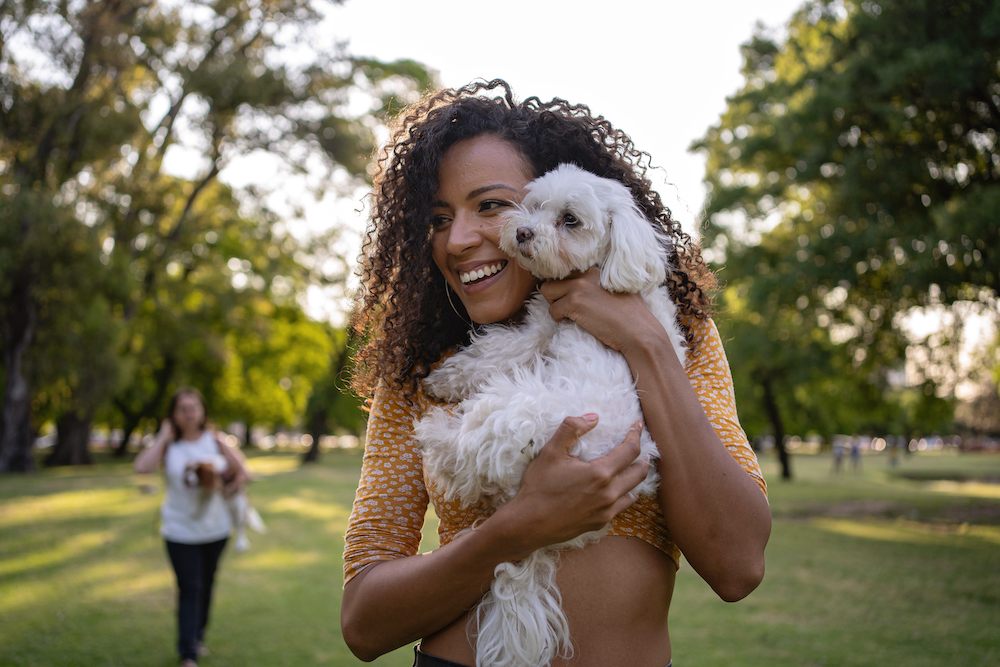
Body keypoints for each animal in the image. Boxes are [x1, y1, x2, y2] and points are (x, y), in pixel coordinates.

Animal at [414, 163, 688, 667]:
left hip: (521, 408)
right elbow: (494, 349)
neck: (606, 270)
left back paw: (436, 431)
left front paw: (444, 382)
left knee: (464, 450)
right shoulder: (543, 324)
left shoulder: (541, 328)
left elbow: (496, 350)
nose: (522, 232)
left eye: (570, 220)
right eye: (535, 206)